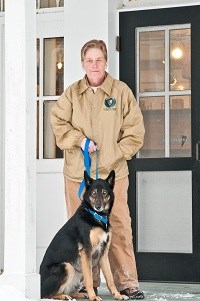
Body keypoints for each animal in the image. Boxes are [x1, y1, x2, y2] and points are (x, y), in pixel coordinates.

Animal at [39, 170, 128, 300]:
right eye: (94, 193)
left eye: (104, 193)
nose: (98, 207)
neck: (96, 216)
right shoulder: (86, 251)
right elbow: (89, 279)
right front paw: (94, 297)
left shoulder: (104, 254)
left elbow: (110, 278)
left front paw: (117, 295)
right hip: (67, 267)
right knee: (46, 294)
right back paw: (63, 296)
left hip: (78, 270)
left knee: (68, 290)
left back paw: (79, 293)